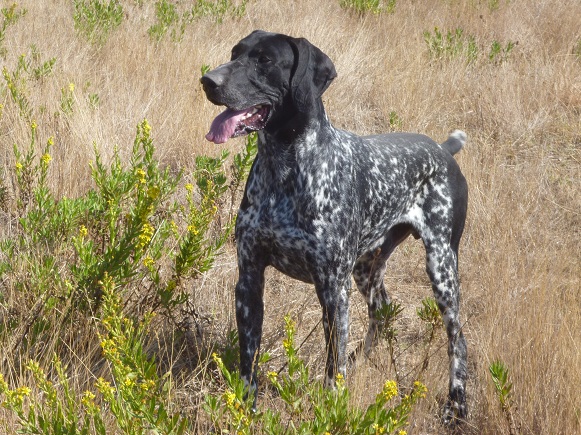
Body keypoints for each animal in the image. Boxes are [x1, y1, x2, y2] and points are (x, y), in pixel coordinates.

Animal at [202, 29, 468, 422]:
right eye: (235, 53)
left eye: (265, 60)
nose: (208, 80)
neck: (284, 169)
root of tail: (443, 149)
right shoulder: (249, 278)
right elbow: (248, 359)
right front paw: (245, 409)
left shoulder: (331, 289)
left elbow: (332, 366)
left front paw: (330, 408)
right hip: (365, 267)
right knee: (382, 311)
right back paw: (360, 362)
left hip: (441, 267)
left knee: (457, 339)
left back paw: (457, 404)